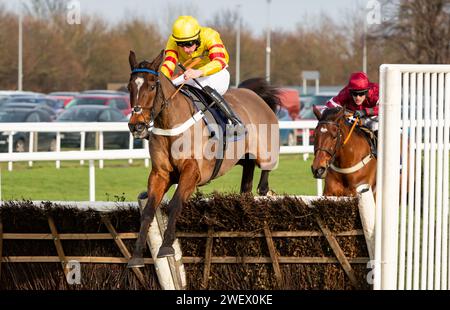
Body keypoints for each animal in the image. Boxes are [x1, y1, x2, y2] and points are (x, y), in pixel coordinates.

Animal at [126, 50, 280, 266]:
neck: (171, 124)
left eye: (152, 85)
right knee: (246, 188)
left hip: (265, 152)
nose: (137, 125)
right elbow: (149, 210)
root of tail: (255, 95)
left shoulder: (192, 172)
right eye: (129, 86)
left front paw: (167, 246)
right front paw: (137, 255)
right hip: (246, 159)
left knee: (264, 179)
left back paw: (268, 191)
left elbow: (175, 204)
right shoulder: (160, 174)